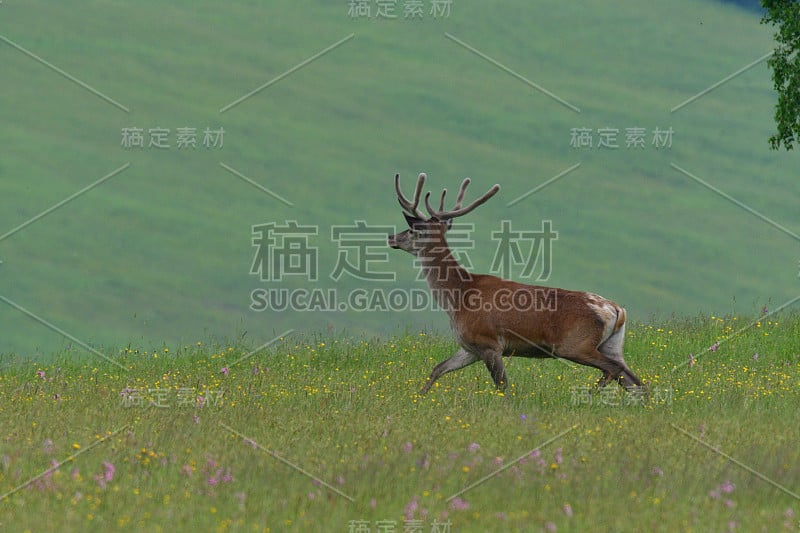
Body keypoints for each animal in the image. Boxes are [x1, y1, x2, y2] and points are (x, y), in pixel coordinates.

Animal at [388, 172, 644, 392]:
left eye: (411, 230)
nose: (391, 237)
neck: (458, 297)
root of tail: (616, 309)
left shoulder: (488, 342)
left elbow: (503, 386)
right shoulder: (469, 347)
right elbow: (437, 369)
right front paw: (419, 397)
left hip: (576, 344)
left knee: (614, 370)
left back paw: (592, 393)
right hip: (612, 344)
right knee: (635, 381)